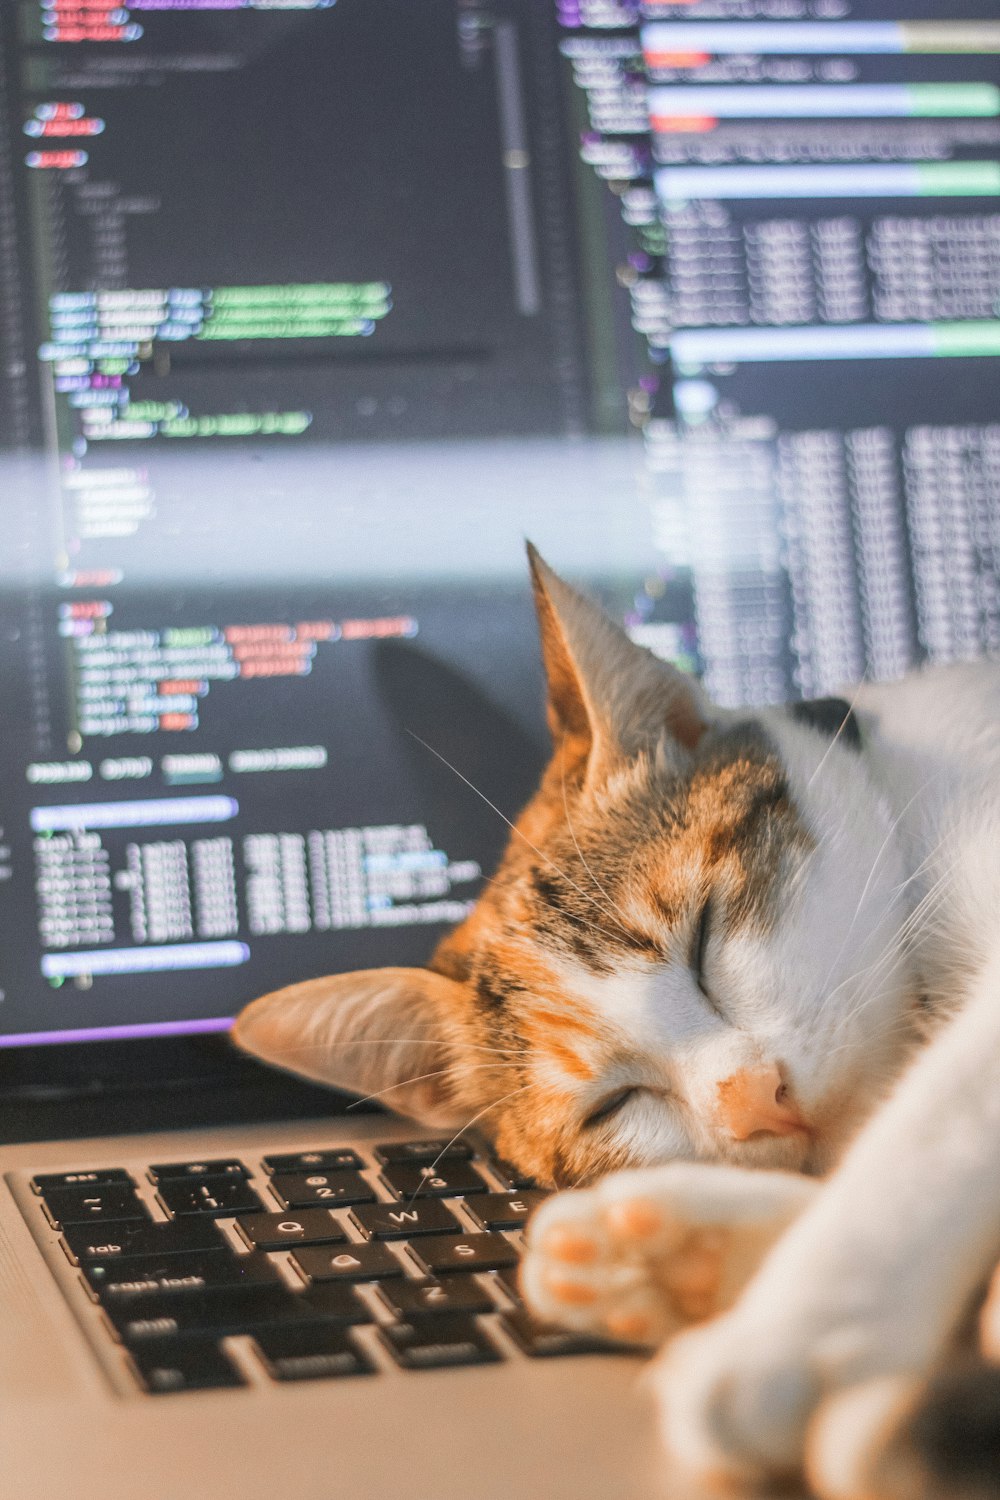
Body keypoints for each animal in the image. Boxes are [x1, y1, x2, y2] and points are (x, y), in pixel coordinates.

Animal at [230, 549, 1000, 1500]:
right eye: (613, 1105)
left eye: (704, 937)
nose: (756, 1099)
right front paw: (671, 1257)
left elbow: (933, 1123)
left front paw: (795, 1334)